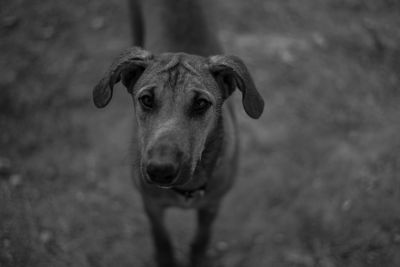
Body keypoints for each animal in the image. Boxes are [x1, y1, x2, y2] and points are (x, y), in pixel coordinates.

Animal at [92, 0, 264, 267]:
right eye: (146, 99)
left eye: (201, 103)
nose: (160, 170)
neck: (188, 190)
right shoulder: (151, 204)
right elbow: (161, 236)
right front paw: (165, 258)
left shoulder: (212, 206)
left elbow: (202, 237)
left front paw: (198, 257)